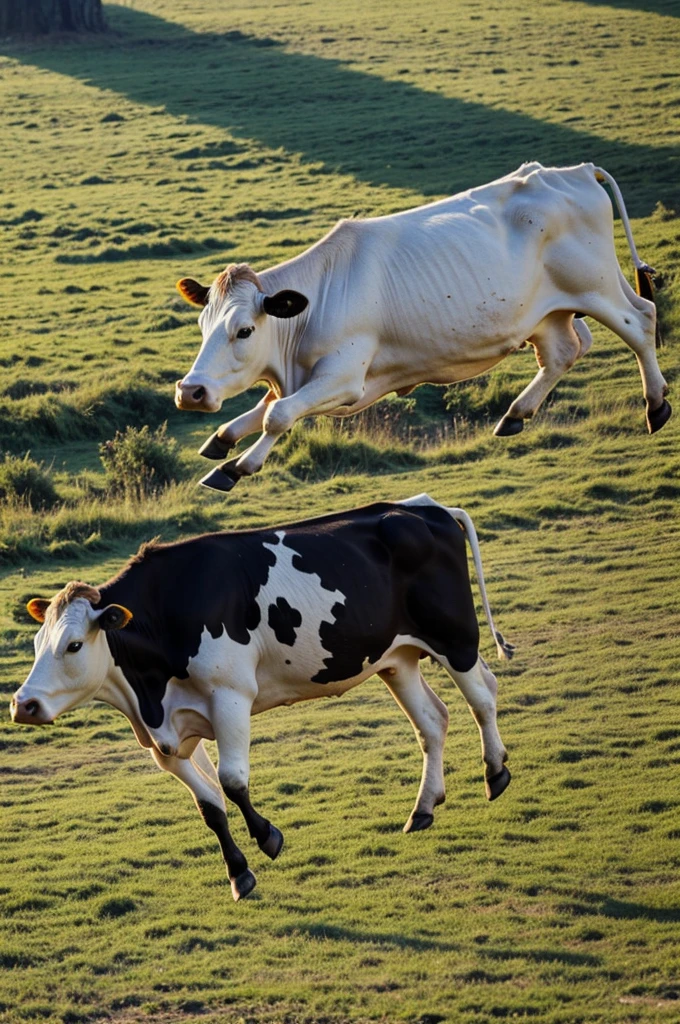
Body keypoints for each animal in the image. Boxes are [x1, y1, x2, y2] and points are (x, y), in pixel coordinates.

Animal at [10, 491, 512, 901]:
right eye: (36, 643)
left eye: (74, 645)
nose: (22, 705)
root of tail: (424, 508)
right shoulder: (166, 738)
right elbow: (209, 805)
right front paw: (238, 875)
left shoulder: (230, 697)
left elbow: (232, 782)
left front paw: (268, 837)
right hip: (397, 658)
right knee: (432, 720)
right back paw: (423, 807)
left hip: (455, 637)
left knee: (483, 696)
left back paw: (495, 771)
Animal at [175, 162, 667, 491]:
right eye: (202, 324)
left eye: (244, 330)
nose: (190, 392)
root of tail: (574, 171)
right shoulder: (304, 378)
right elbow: (263, 409)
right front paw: (222, 441)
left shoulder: (345, 379)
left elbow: (277, 414)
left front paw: (237, 467)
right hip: (546, 314)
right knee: (564, 351)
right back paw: (515, 414)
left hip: (596, 287)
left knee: (641, 321)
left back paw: (656, 405)